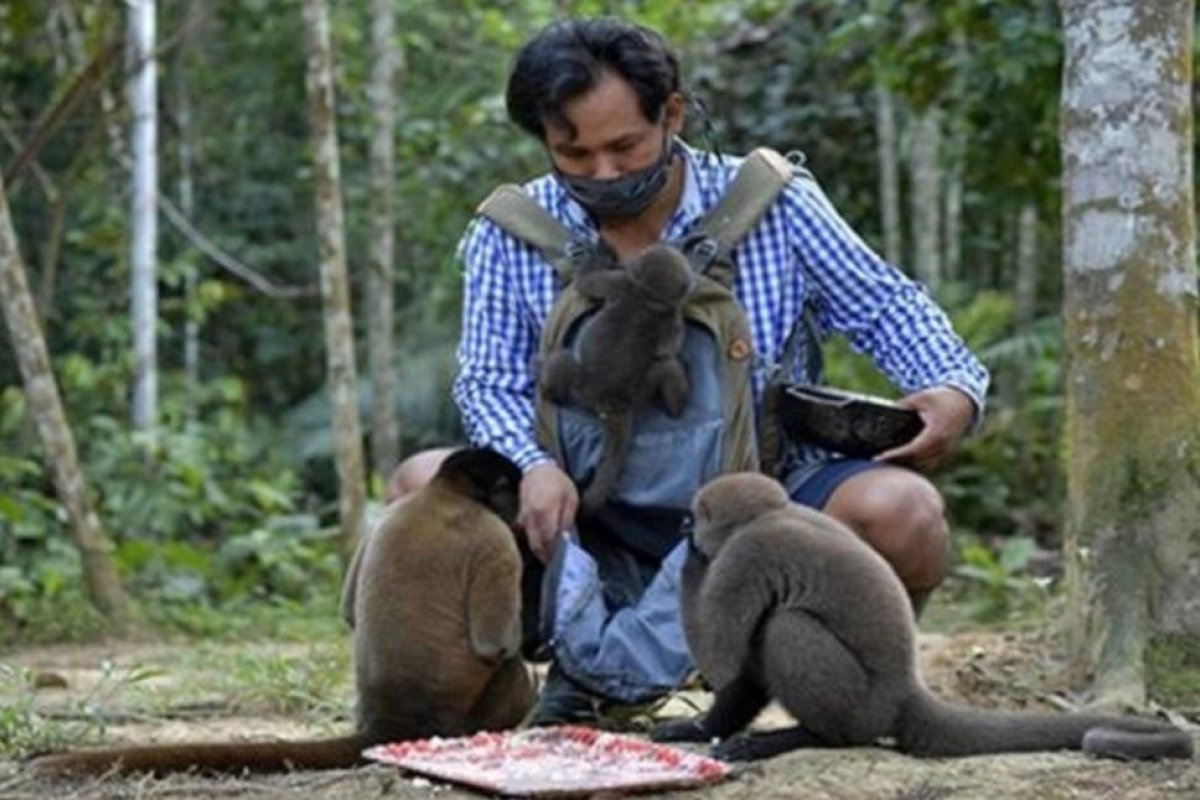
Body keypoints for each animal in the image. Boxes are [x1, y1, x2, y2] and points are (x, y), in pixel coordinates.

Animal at [32, 447, 536, 776]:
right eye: (512, 493)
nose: (521, 507)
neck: (444, 491)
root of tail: (390, 722)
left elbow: (347, 611)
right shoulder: (493, 536)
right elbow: (495, 645)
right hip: (465, 715)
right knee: (510, 669)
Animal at [539, 242, 694, 512]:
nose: (666, 244)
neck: (647, 296)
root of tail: (610, 400)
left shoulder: (627, 287)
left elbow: (586, 282)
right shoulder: (630, 288)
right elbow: (666, 350)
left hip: (590, 388)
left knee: (563, 362)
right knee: (667, 367)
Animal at [652, 473, 1195, 763]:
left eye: (697, 513)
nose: (683, 521)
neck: (772, 513)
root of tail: (905, 692)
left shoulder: (744, 556)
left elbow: (725, 659)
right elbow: (741, 670)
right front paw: (701, 729)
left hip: (862, 706)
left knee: (786, 628)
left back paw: (807, 737)